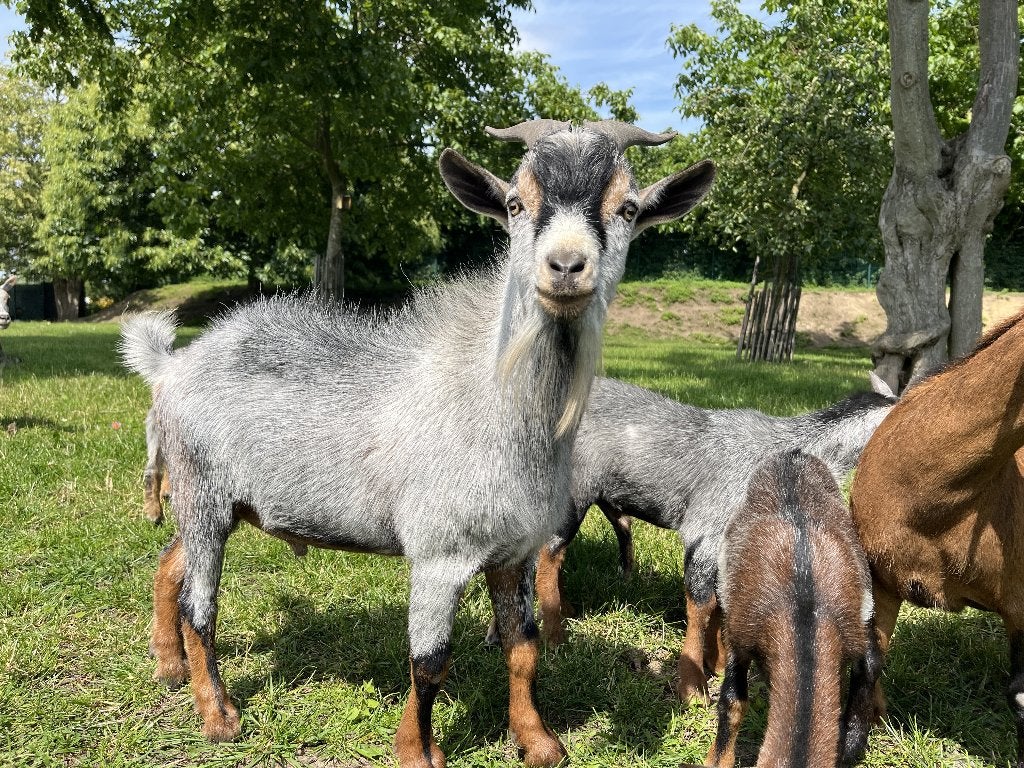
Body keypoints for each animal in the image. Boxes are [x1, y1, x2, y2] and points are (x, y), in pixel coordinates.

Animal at [119, 119, 716, 768]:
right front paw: (416, 750)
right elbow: (429, 663)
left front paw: (537, 741)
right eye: (515, 203)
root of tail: (172, 366)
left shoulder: (514, 551)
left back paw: (169, 666)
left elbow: (523, 647)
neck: (492, 403)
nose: (565, 266)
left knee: (168, 563)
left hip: (216, 501)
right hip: (202, 491)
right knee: (199, 606)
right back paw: (218, 715)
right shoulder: (438, 553)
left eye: (627, 207)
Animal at [529, 373, 895, 708]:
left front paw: (717, 663)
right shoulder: (706, 530)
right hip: (572, 490)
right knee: (549, 553)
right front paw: (693, 686)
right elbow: (701, 604)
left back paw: (566, 609)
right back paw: (554, 634)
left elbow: (721, 601)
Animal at [706, 449, 880, 768]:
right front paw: (717, 759)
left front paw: (851, 743)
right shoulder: (740, 634)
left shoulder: (858, 623)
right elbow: (733, 701)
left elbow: (869, 668)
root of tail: (793, 455)